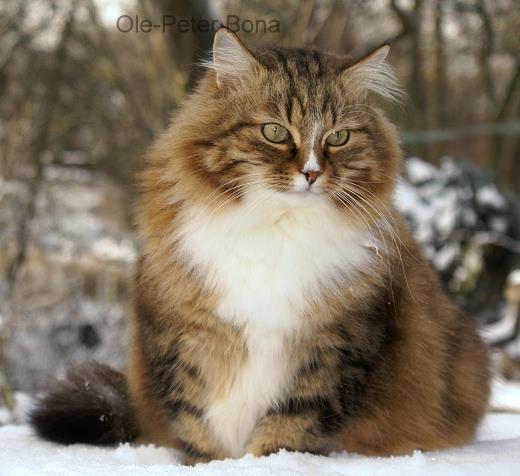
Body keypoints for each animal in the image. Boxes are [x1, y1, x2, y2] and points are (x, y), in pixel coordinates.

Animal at [30, 27, 490, 464]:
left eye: (338, 138)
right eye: (274, 132)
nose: (311, 173)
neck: (278, 227)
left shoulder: (332, 349)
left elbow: (290, 427)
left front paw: (267, 461)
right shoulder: (185, 340)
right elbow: (198, 425)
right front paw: (210, 464)